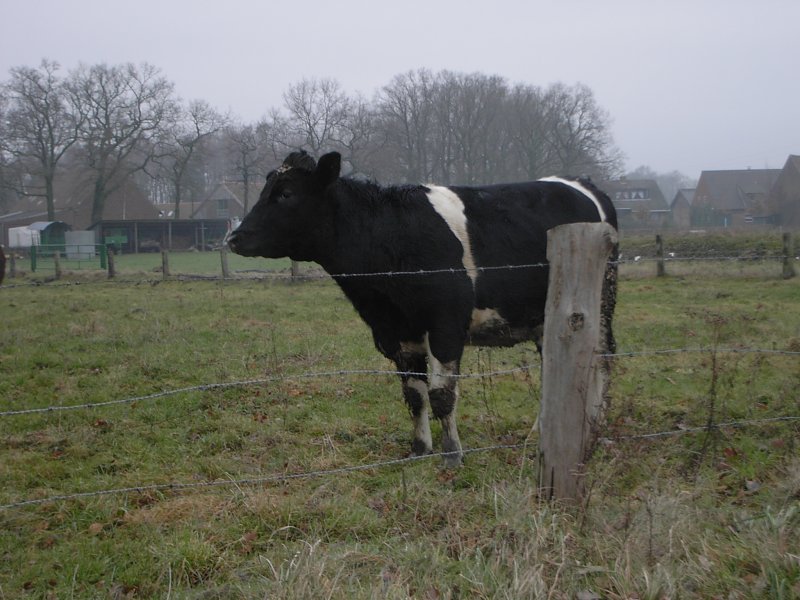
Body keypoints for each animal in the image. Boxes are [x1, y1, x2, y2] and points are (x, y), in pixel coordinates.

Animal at [228, 151, 616, 468]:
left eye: (286, 193)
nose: (234, 237)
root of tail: (581, 183)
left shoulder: (445, 325)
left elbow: (441, 394)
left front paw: (452, 455)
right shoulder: (395, 331)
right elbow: (414, 395)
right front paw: (419, 449)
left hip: (600, 302)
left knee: (601, 357)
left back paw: (595, 425)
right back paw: (540, 431)